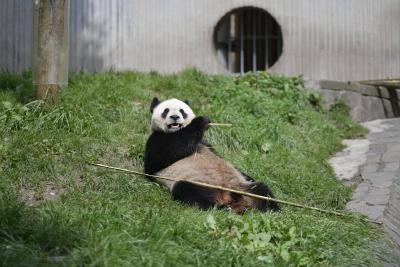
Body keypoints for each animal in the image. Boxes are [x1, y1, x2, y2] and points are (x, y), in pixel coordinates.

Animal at [143, 97, 278, 215]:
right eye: (165, 111)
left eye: (182, 111)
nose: (175, 117)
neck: (176, 131)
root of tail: (227, 194)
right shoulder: (156, 140)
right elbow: (163, 156)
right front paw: (201, 121)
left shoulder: (206, 144)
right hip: (198, 182)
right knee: (189, 192)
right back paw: (221, 208)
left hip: (242, 187)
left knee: (261, 190)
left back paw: (273, 211)